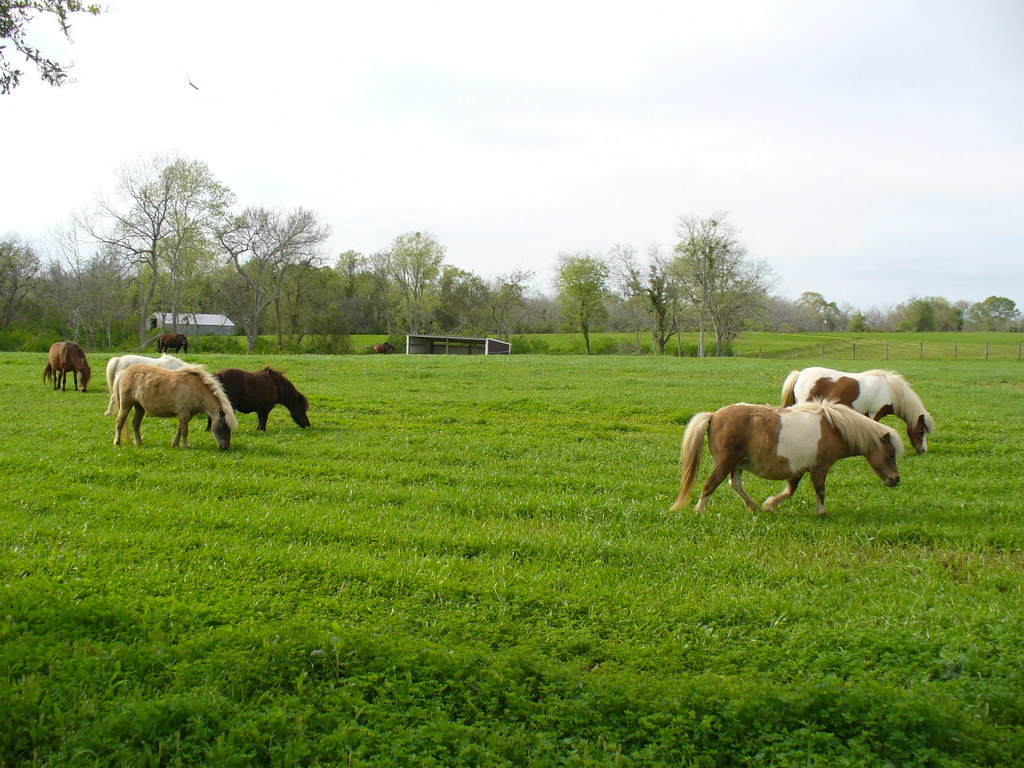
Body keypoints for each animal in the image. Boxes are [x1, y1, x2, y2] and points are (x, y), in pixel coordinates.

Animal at [669, 400, 903, 516]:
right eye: (891, 454)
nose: (895, 479)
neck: (834, 428)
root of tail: (714, 415)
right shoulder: (820, 468)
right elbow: (820, 490)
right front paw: (821, 512)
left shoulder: (798, 469)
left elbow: (790, 490)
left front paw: (769, 505)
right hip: (726, 462)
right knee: (710, 484)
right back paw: (700, 511)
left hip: (736, 464)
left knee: (734, 484)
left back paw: (753, 508)